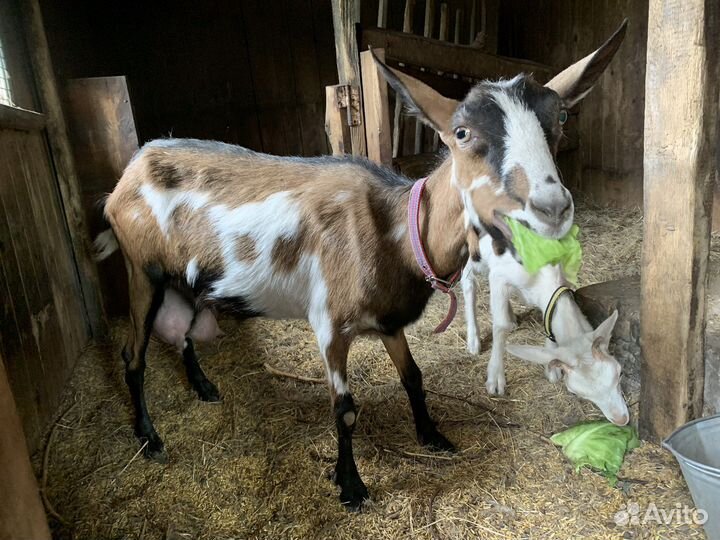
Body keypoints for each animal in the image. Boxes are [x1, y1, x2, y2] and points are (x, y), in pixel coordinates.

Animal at [462, 233, 629, 425]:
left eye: (620, 373)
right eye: (575, 392)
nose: (621, 420)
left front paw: (552, 366)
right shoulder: (499, 275)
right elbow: (500, 325)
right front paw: (495, 378)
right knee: (467, 277)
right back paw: (473, 340)